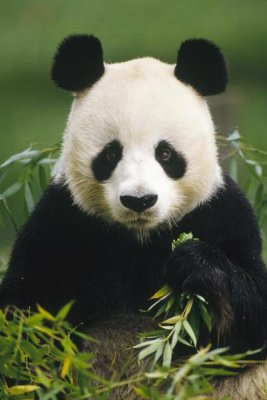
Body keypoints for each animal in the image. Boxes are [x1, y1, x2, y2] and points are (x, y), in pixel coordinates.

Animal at [0, 35, 267, 400]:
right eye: (111, 153)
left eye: (165, 153)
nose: (139, 200)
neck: (140, 237)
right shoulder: (62, 223)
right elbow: (26, 315)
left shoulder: (221, 213)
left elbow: (252, 320)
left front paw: (196, 264)